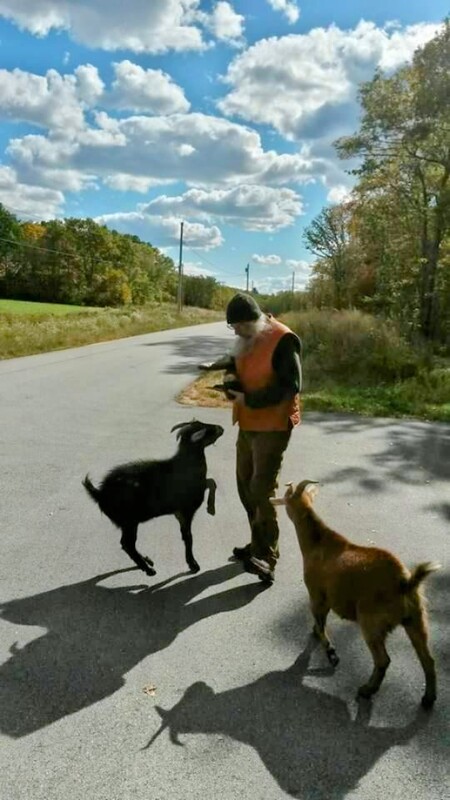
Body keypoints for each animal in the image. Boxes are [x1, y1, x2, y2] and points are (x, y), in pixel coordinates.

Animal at [82, 418, 223, 576]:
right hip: (130, 521)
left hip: (129, 522)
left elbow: (211, 482)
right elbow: (188, 537)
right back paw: (148, 569)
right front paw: (193, 564)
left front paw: (211, 509)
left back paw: (147, 561)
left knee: (127, 544)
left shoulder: (182, 508)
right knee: (127, 544)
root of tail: (99, 494)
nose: (221, 428)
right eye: (207, 430)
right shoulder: (186, 511)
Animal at [272, 482, 442, 708]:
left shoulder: (317, 595)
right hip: (416, 620)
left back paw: (367, 690)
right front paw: (317, 635)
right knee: (427, 659)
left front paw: (331, 653)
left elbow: (321, 623)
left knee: (383, 660)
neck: (318, 542)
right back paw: (428, 698)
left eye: (286, 496)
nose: (272, 499)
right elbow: (320, 622)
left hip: (370, 622)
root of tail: (404, 583)